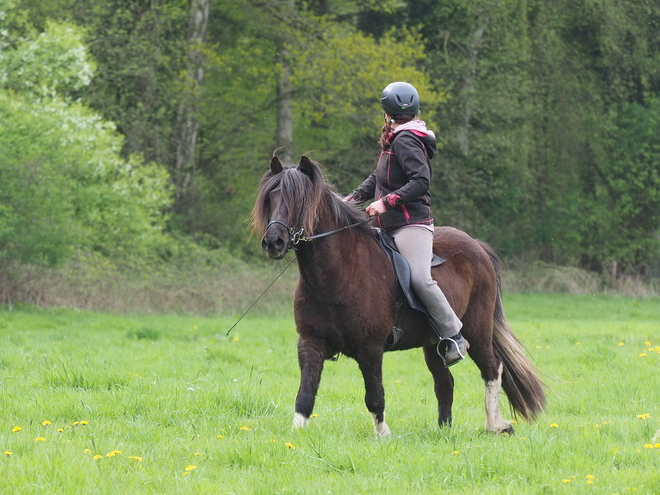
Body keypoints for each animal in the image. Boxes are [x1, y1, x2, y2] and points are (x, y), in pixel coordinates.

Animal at [253, 156, 548, 438]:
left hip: (477, 330)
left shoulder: (370, 348)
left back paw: (495, 425)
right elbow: (305, 394)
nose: (273, 242)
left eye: (299, 200)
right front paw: (297, 434)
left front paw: (383, 434)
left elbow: (374, 396)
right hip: (434, 343)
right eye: (270, 198)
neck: (338, 272)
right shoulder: (310, 343)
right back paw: (444, 431)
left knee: (492, 370)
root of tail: (478, 247)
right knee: (445, 384)